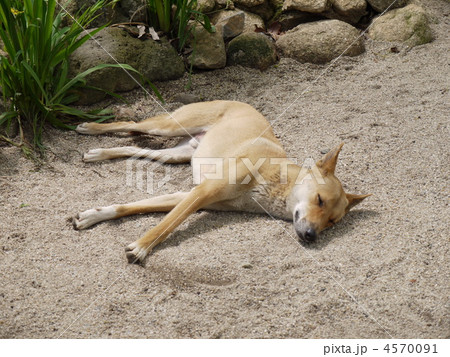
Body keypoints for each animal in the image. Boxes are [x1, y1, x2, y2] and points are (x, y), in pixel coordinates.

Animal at [73, 100, 370, 262]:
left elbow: (132, 207)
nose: (311, 236)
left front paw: (94, 215)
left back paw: (99, 153)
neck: (275, 181)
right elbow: (168, 224)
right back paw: (91, 127)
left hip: (176, 154)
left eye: (332, 222)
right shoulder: (202, 192)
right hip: (167, 127)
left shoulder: (189, 195)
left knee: (135, 149)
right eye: (319, 200)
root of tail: (241, 101)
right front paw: (142, 247)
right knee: (131, 124)